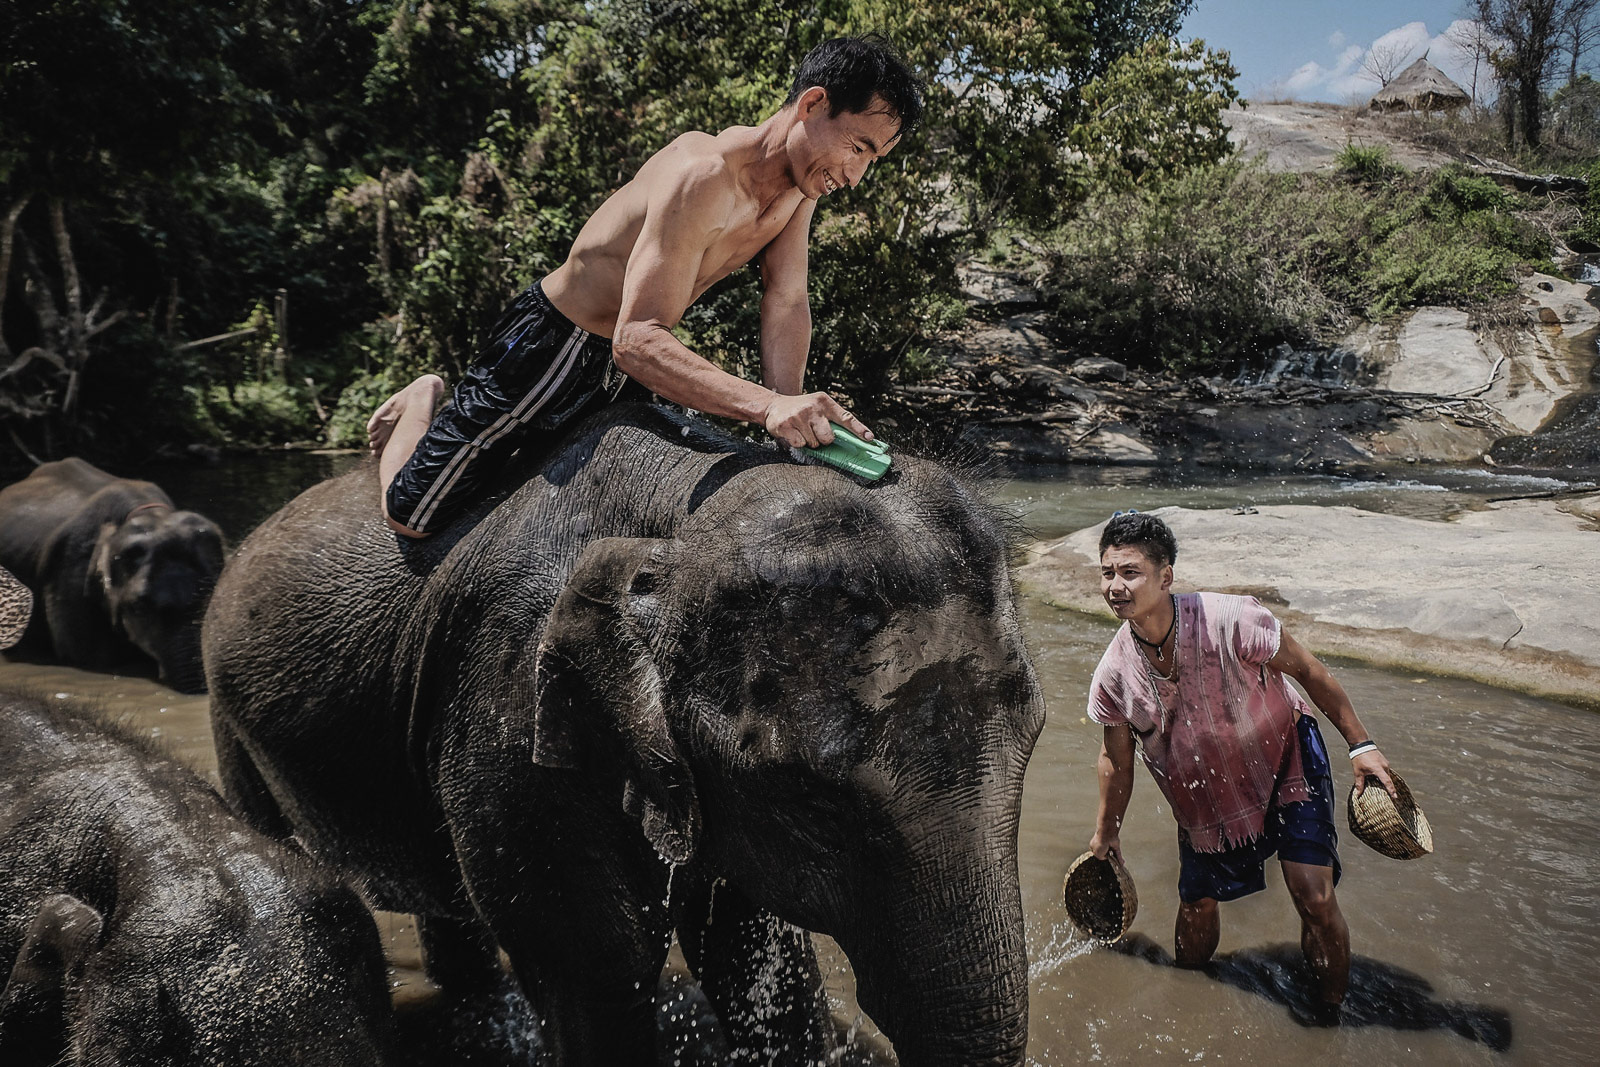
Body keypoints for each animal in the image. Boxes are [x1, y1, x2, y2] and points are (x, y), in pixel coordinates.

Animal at [203, 403, 1047, 1067]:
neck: (682, 507)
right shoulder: (510, 703)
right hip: (226, 712)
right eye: (812, 799)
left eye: (1033, 735)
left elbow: (750, 956)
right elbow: (596, 974)